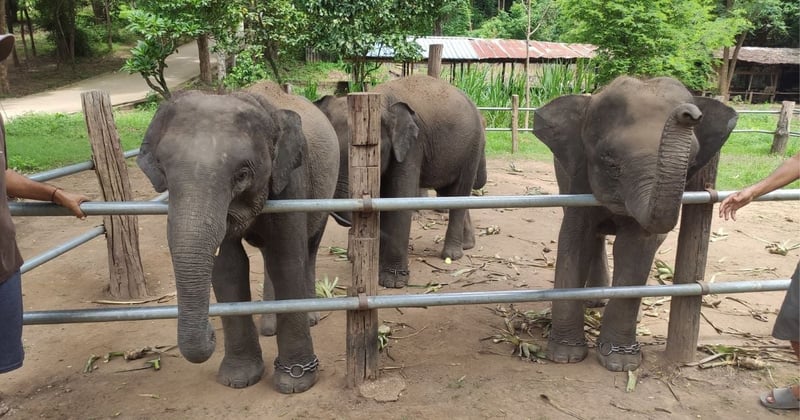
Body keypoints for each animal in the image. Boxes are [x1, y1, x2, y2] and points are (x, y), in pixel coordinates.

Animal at [136, 81, 339, 393]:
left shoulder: (292, 180)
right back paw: (269, 327)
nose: (211, 333)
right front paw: (238, 379)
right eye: (164, 173)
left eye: (242, 174)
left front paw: (295, 382)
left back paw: (309, 317)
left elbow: (286, 259)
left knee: (309, 246)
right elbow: (229, 268)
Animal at [315, 75, 487, 288]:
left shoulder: (413, 145)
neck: (379, 98)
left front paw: (392, 282)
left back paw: (452, 255)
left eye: (372, 151)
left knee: (459, 191)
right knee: (448, 193)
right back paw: (467, 245)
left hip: (472, 146)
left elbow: (399, 197)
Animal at [532, 76, 738, 372]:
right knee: (595, 237)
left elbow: (635, 248)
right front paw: (565, 356)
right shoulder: (576, 178)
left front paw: (621, 363)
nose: (690, 114)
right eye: (610, 162)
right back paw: (594, 301)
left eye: (691, 165)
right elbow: (576, 240)